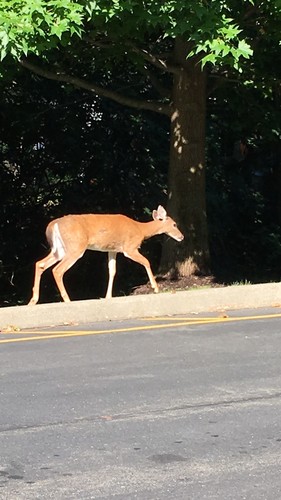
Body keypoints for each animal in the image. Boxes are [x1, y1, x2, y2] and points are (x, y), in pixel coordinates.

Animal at [27, 204, 182, 304]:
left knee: (40, 263)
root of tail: (53, 225)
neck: (141, 230)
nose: (182, 237)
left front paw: (107, 297)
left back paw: (33, 300)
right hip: (75, 246)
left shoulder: (112, 250)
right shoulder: (129, 247)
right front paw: (155, 288)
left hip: (59, 249)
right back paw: (67, 300)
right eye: (174, 224)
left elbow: (112, 271)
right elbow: (146, 261)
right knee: (58, 270)